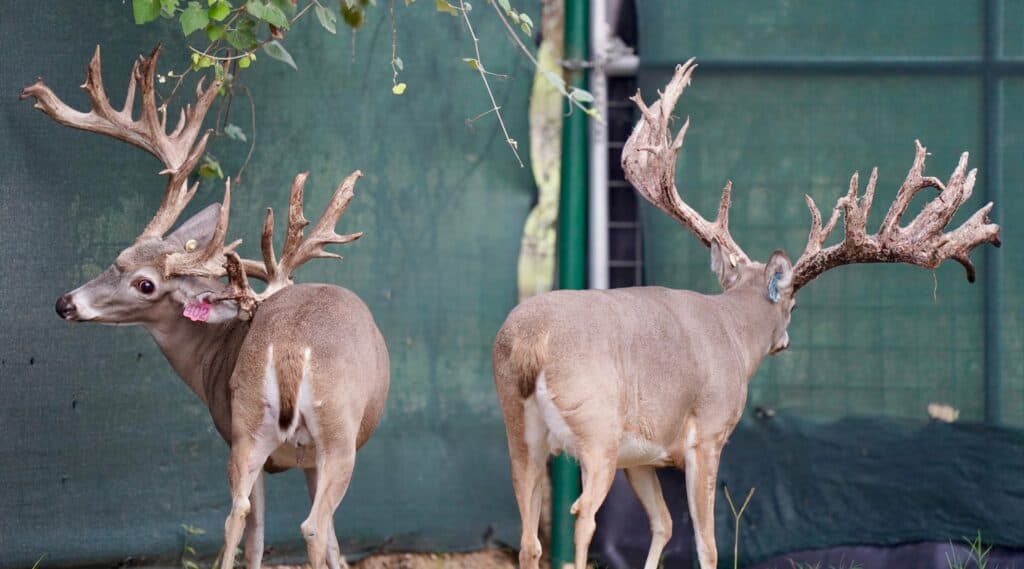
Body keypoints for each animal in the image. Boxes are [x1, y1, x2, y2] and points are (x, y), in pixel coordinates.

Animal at [22, 45, 389, 569]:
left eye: (144, 282)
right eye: (120, 257)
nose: (64, 303)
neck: (215, 354)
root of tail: (292, 350)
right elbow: (323, 536)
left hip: (259, 425)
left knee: (242, 514)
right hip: (329, 432)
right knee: (307, 524)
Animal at [492, 58, 1001, 569]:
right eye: (794, 302)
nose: (787, 340)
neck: (734, 332)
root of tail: (531, 342)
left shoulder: (641, 454)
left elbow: (663, 525)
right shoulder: (707, 432)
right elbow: (706, 543)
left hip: (522, 432)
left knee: (529, 536)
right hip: (596, 429)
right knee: (581, 517)